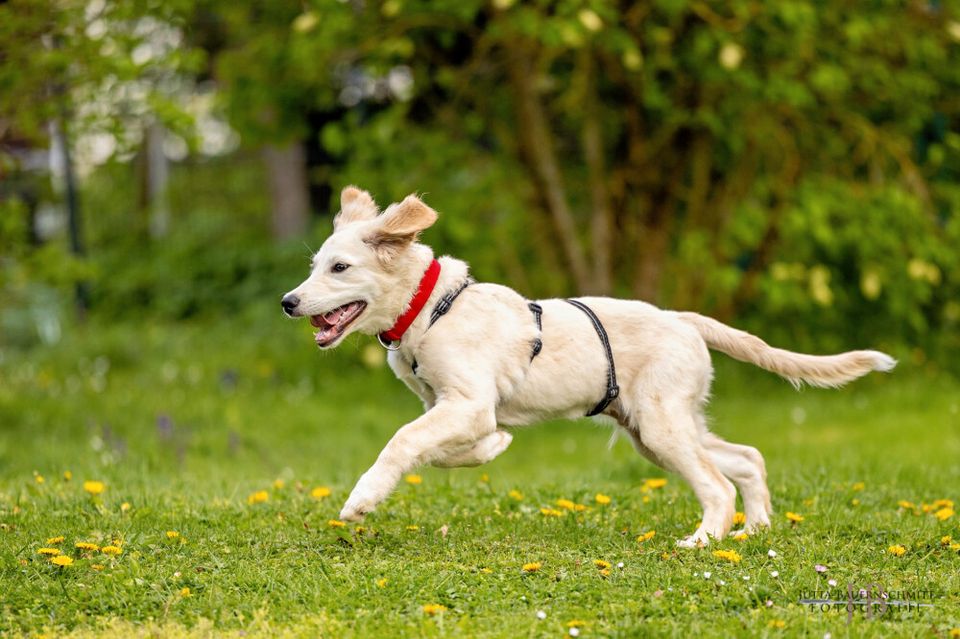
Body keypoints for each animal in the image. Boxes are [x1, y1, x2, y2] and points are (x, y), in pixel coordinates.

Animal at [282, 188, 896, 548]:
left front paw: (361, 500)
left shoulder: (467, 403)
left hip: (661, 427)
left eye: (340, 268)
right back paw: (758, 526)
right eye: (315, 266)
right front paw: (493, 449)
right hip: (659, 428)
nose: (289, 302)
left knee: (718, 485)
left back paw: (703, 542)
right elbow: (445, 450)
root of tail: (684, 320)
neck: (430, 306)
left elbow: (403, 442)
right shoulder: (451, 408)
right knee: (747, 459)